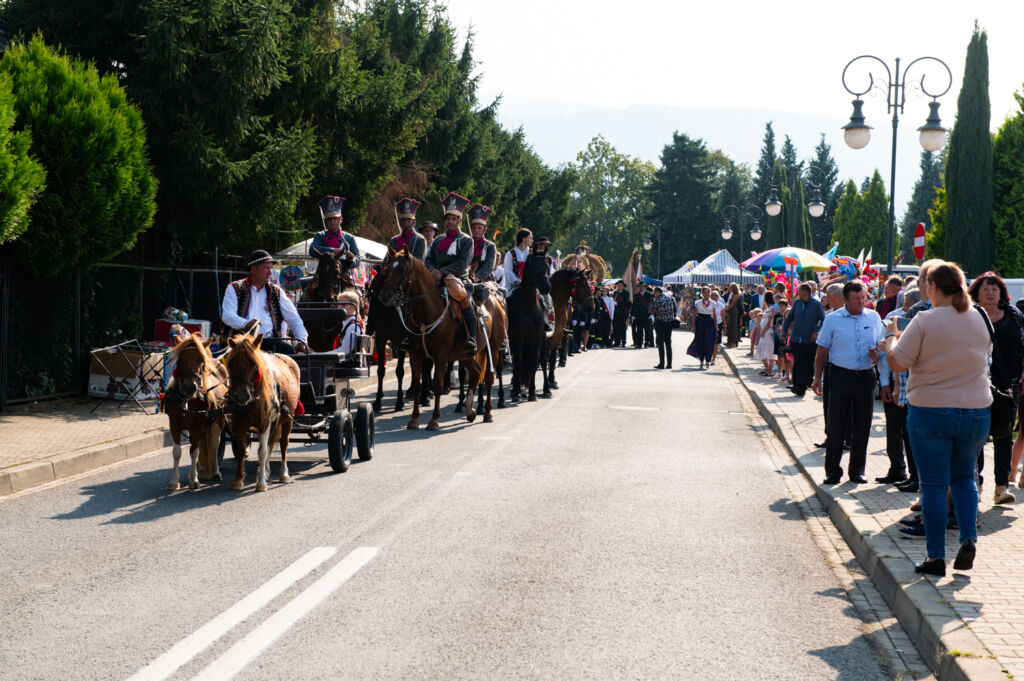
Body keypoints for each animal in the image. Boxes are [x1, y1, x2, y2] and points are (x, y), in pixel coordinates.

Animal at [164, 333, 229, 489]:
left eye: (201, 359)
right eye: (181, 359)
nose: (190, 387)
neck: (189, 399)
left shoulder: (198, 427)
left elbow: (194, 452)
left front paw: (193, 479)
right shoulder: (174, 424)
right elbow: (177, 452)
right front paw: (174, 481)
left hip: (219, 420)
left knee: (214, 444)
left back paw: (215, 472)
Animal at [223, 333, 299, 489]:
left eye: (254, 364)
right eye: (231, 363)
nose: (242, 396)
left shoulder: (265, 422)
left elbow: (262, 452)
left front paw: (261, 483)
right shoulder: (240, 422)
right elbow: (241, 450)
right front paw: (238, 481)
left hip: (288, 418)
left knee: (284, 443)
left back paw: (284, 474)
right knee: (270, 443)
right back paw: (267, 471)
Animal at [378, 249, 505, 430]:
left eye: (402, 269)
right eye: (387, 270)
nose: (384, 295)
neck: (427, 310)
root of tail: (495, 300)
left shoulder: (441, 355)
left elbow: (437, 385)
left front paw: (434, 420)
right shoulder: (416, 353)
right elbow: (417, 384)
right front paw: (414, 419)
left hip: (492, 349)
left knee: (488, 377)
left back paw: (487, 412)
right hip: (464, 354)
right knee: (475, 372)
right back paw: (469, 410)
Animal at [505, 250, 548, 401]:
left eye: (546, 266)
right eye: (534, 266)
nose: (546, 287)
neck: (528, 307)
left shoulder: (536, 338)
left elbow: (533, 363)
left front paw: (532, 392)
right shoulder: (516, 338)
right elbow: (519, 364)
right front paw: (516, 392)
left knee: (543, 360)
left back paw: (546, 390)